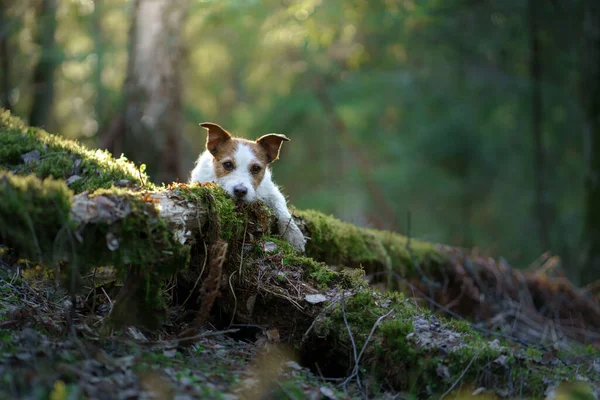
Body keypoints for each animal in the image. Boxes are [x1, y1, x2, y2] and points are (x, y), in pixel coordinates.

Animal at [189, 122, 310, 253]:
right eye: (227, 164)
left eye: (256, 168)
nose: (240, 191)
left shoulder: (271, 191)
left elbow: (282, 208)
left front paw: (294, 235)